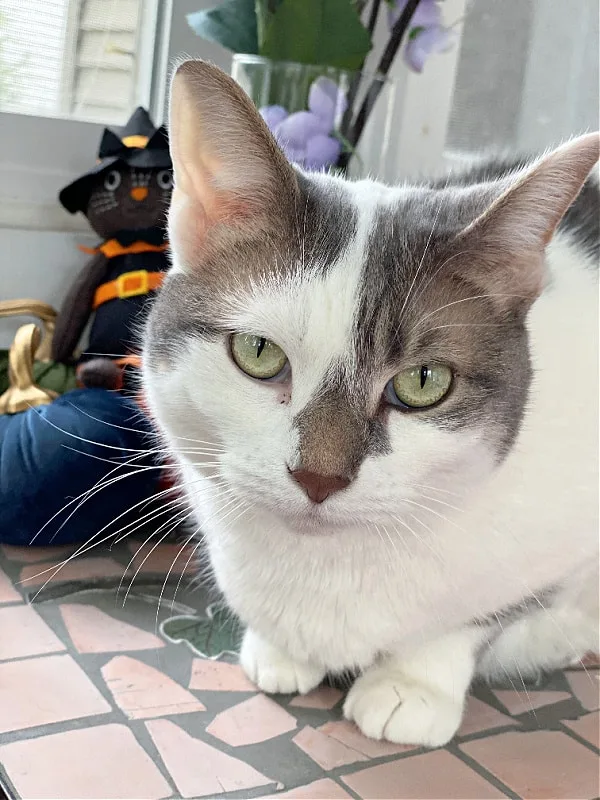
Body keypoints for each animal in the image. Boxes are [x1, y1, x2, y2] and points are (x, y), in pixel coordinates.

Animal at [143, 59, 596, 748]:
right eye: (257, 351)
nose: (318, 476)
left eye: (424, 382)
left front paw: (412, 685)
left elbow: (473, 619)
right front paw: (279, 648)